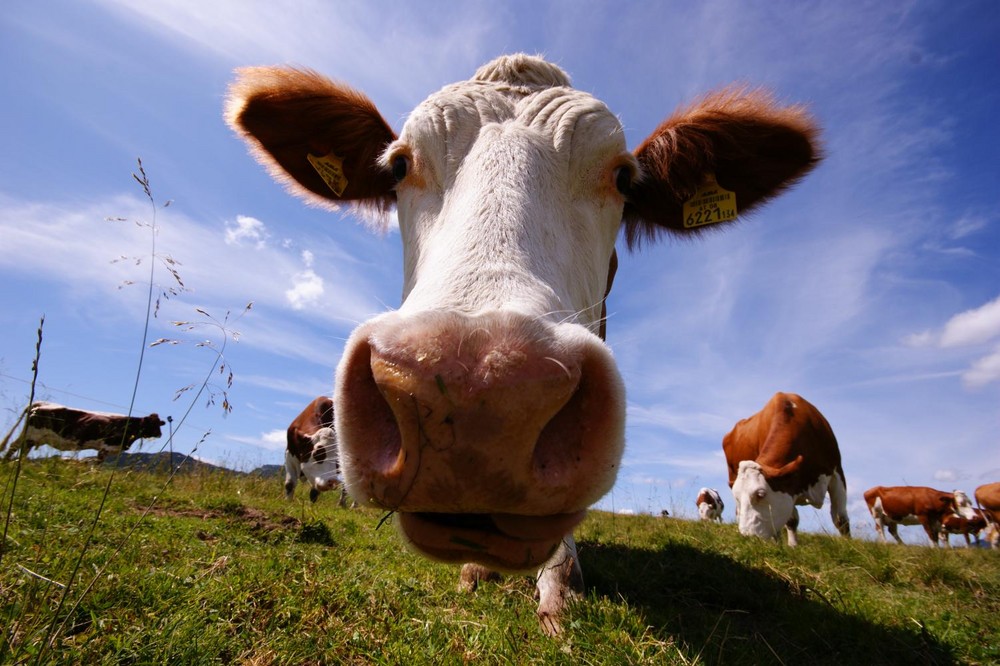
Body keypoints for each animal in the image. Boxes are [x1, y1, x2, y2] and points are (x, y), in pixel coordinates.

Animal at [2, 402, 165, 460]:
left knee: (18, 448)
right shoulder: (105, 447)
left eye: (159, 424)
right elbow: (97, 464)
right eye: (152, 424)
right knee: (14, 447)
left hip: (31, 437)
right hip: (32, 434)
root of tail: (40, 404)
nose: (160, 434)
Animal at [724, 392, 848, 544]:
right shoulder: (788, 484)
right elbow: (791, 520)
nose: (747, 537)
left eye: (760, 494)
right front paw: (793, 546)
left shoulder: (837, 471)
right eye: (736, 497)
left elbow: (841, 519)